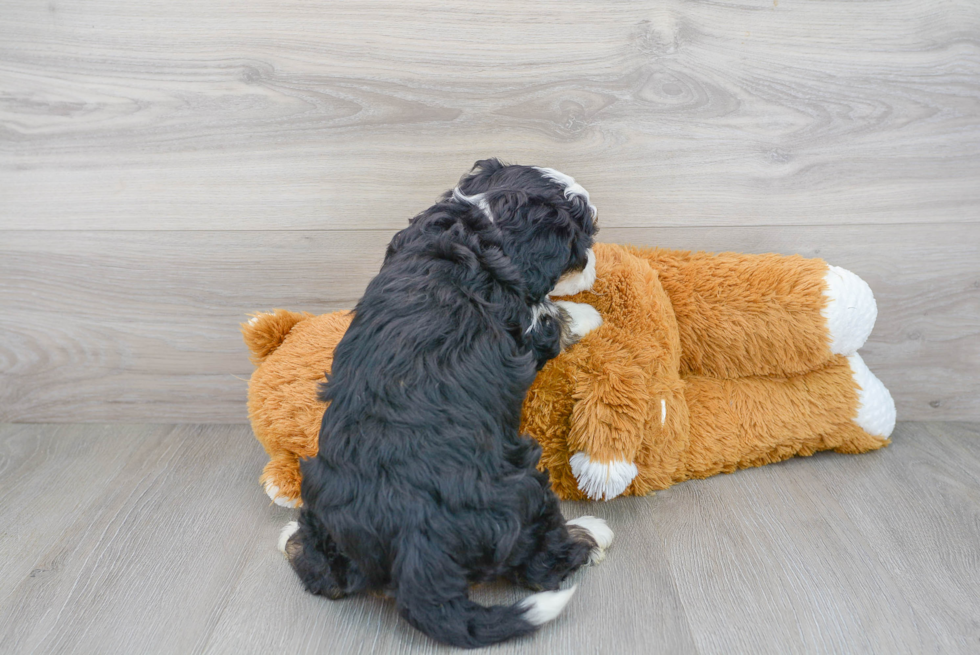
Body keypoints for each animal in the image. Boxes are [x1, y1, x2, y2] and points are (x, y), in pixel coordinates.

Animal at [280, 161, 608, 648]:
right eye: (582, 245)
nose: (594, 266)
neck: (482, 220)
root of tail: (414, 545)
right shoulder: (528, 324)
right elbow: (554, 315)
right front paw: (588, 314)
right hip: (523, 487)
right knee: (542, 562)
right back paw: (591, 533)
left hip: (323, 490)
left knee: (324, 573)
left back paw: (293, 537)